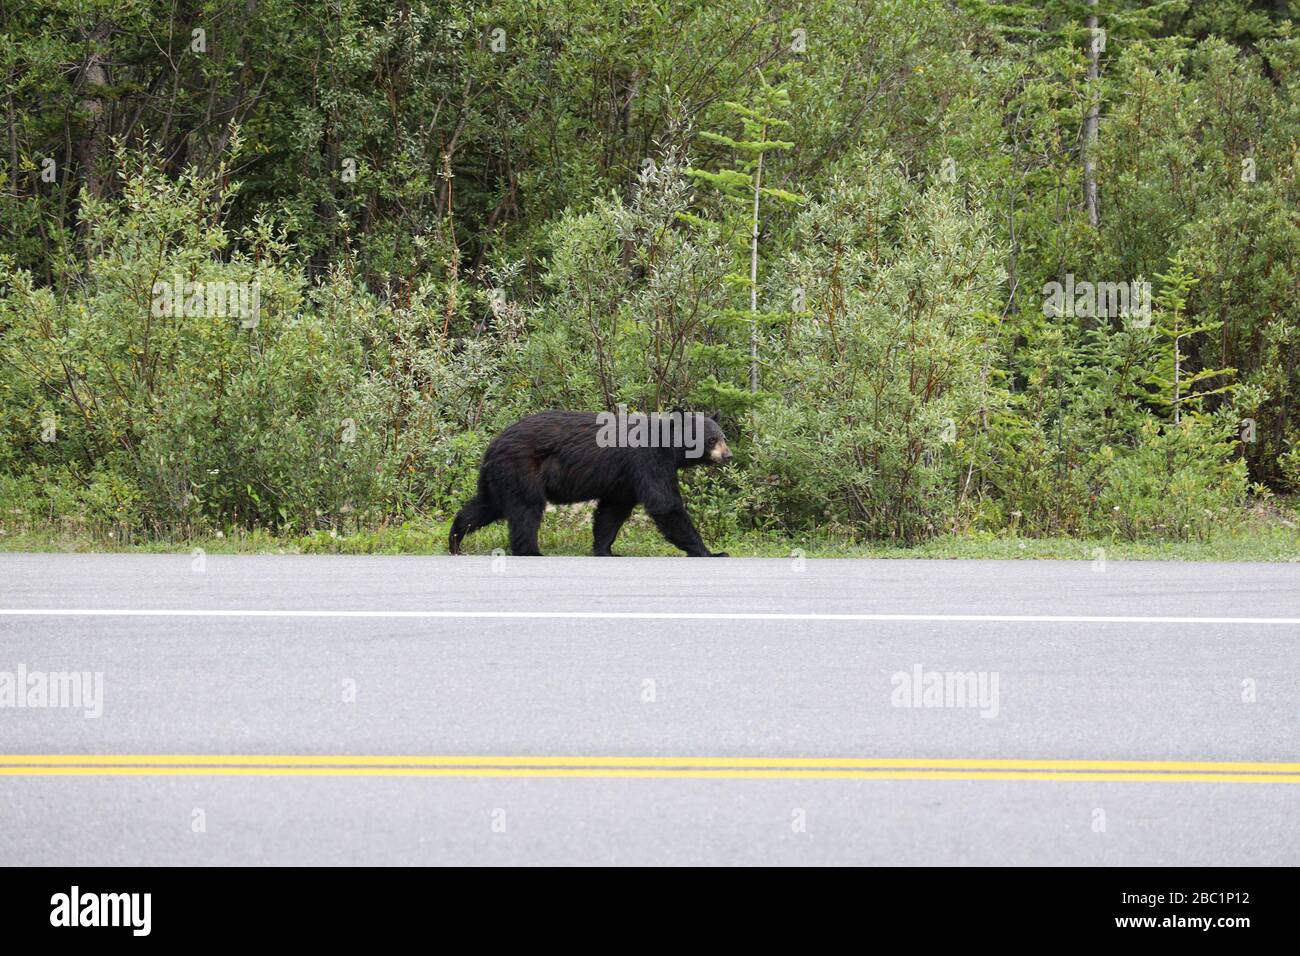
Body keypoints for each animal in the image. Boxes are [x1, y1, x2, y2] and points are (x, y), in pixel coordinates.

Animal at [448, 409, 733, 557]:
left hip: (499, 477)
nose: (728, 455)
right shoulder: (647, 461)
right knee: (526, 510)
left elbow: (612, 511)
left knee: (485, 506)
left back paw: (455, 540)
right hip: (522, 468)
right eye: (712, 439)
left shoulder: (625, 480)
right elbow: (665, 503)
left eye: (723, 436)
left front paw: (605, 549)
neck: (669, 446)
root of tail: (493, 445)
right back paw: (530, 550)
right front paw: (710, 551)